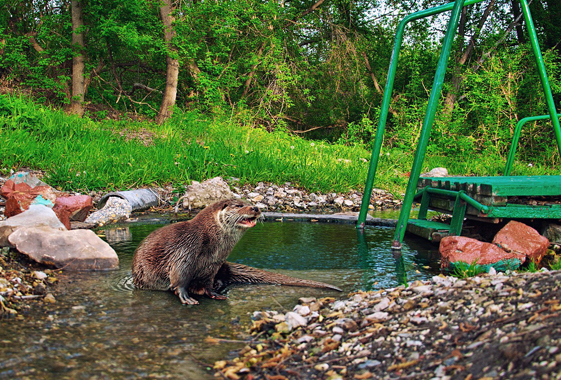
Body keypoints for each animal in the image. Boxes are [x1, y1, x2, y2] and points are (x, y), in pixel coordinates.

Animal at [132, 197, 342, 304]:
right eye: (240, 206)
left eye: (249, 202)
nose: (255, 207)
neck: (211, 243)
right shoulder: (186, 250)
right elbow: (179, 276)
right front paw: (185, 296)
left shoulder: (213, 265)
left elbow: (207, 282)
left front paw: (213, 292)